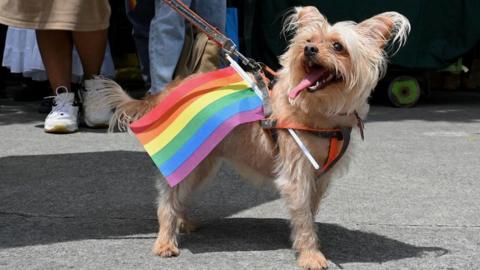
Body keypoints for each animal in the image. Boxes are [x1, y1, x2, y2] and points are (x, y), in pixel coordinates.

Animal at [96, 6, 408, 270]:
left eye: (337, 46)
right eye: (309, 40)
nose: (308, 49)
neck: (318, 110)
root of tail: (168, 90)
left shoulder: (319, 178)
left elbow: (308, 211)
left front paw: (304, 240)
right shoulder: (297, 173)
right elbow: (304, 216)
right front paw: (311, 255)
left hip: (202, 163)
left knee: (178, 194)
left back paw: (182, 223)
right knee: (167, 199)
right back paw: (165, 241)